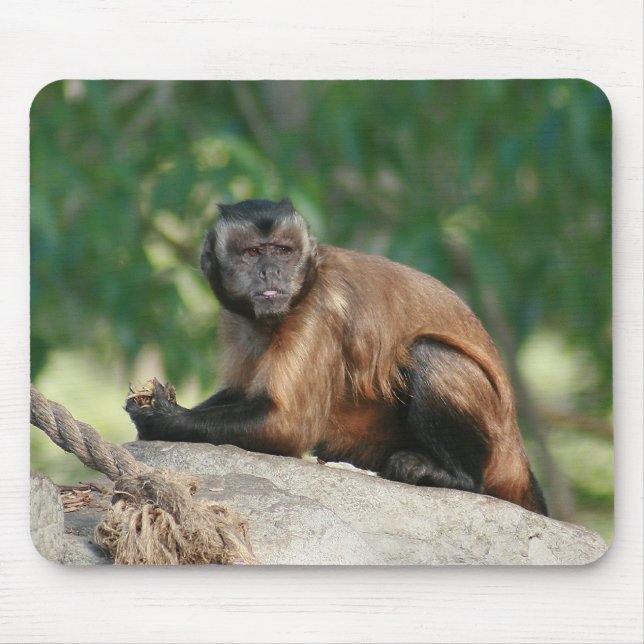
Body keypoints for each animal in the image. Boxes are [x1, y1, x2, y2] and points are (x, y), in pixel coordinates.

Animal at [126, 198, 548, 515]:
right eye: (253, 253)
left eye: (282, 252)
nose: (270, 271)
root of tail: (519, 456)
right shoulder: (235, 318)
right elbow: (246, 393)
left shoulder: (318, 308)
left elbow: (288, 426)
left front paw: (165, 419)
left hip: (496, 452)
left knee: (429, 353)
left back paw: (455, 478)